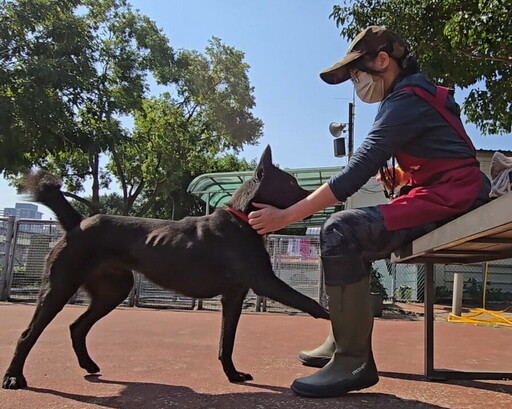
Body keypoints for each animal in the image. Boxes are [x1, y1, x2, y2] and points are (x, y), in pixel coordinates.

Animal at [2, 145, 328, 388]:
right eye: (291, 183)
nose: (318, 201)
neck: (241, 219)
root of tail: (77, 223)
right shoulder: (265, 282)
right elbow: (309, 302)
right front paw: (329, 319)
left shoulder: (233, 296)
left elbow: (227, 341)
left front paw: (232, 374)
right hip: (59, 288)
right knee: (28, 334)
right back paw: (14, 377)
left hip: (113, 290)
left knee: (77, 326)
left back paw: (88, 364)